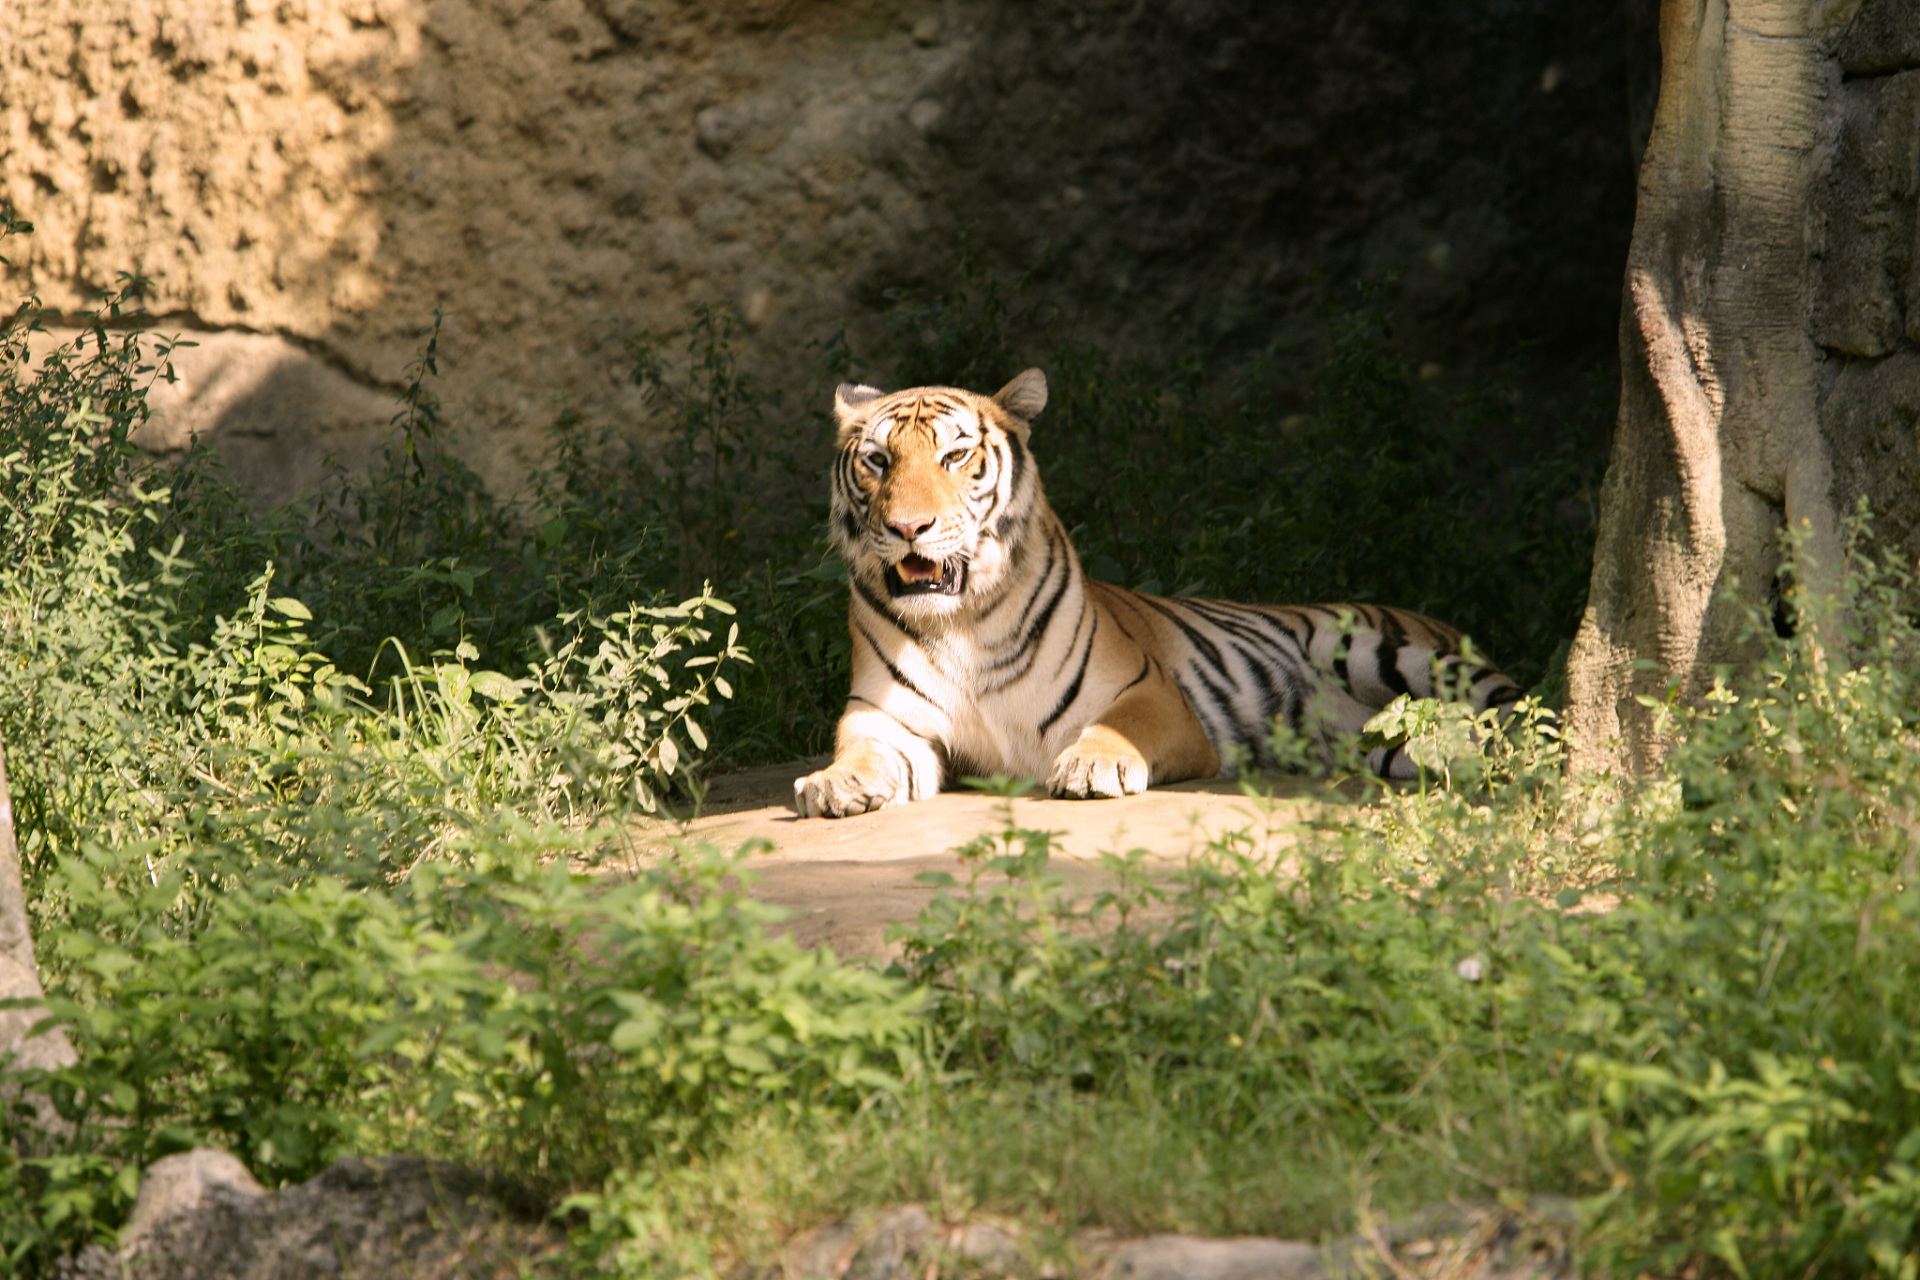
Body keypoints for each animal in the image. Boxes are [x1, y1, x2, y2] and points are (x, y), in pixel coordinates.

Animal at [787, 368, 1520, 821]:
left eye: (955, 456)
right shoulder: (886, 716)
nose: (908, 527)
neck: (961, 621)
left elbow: (1119, 727)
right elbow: (863, 748)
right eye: (878, 461)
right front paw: (834, 782)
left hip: (1375, 649)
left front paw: (1092, 766)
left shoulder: (1149, 690)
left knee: (1515, 716)